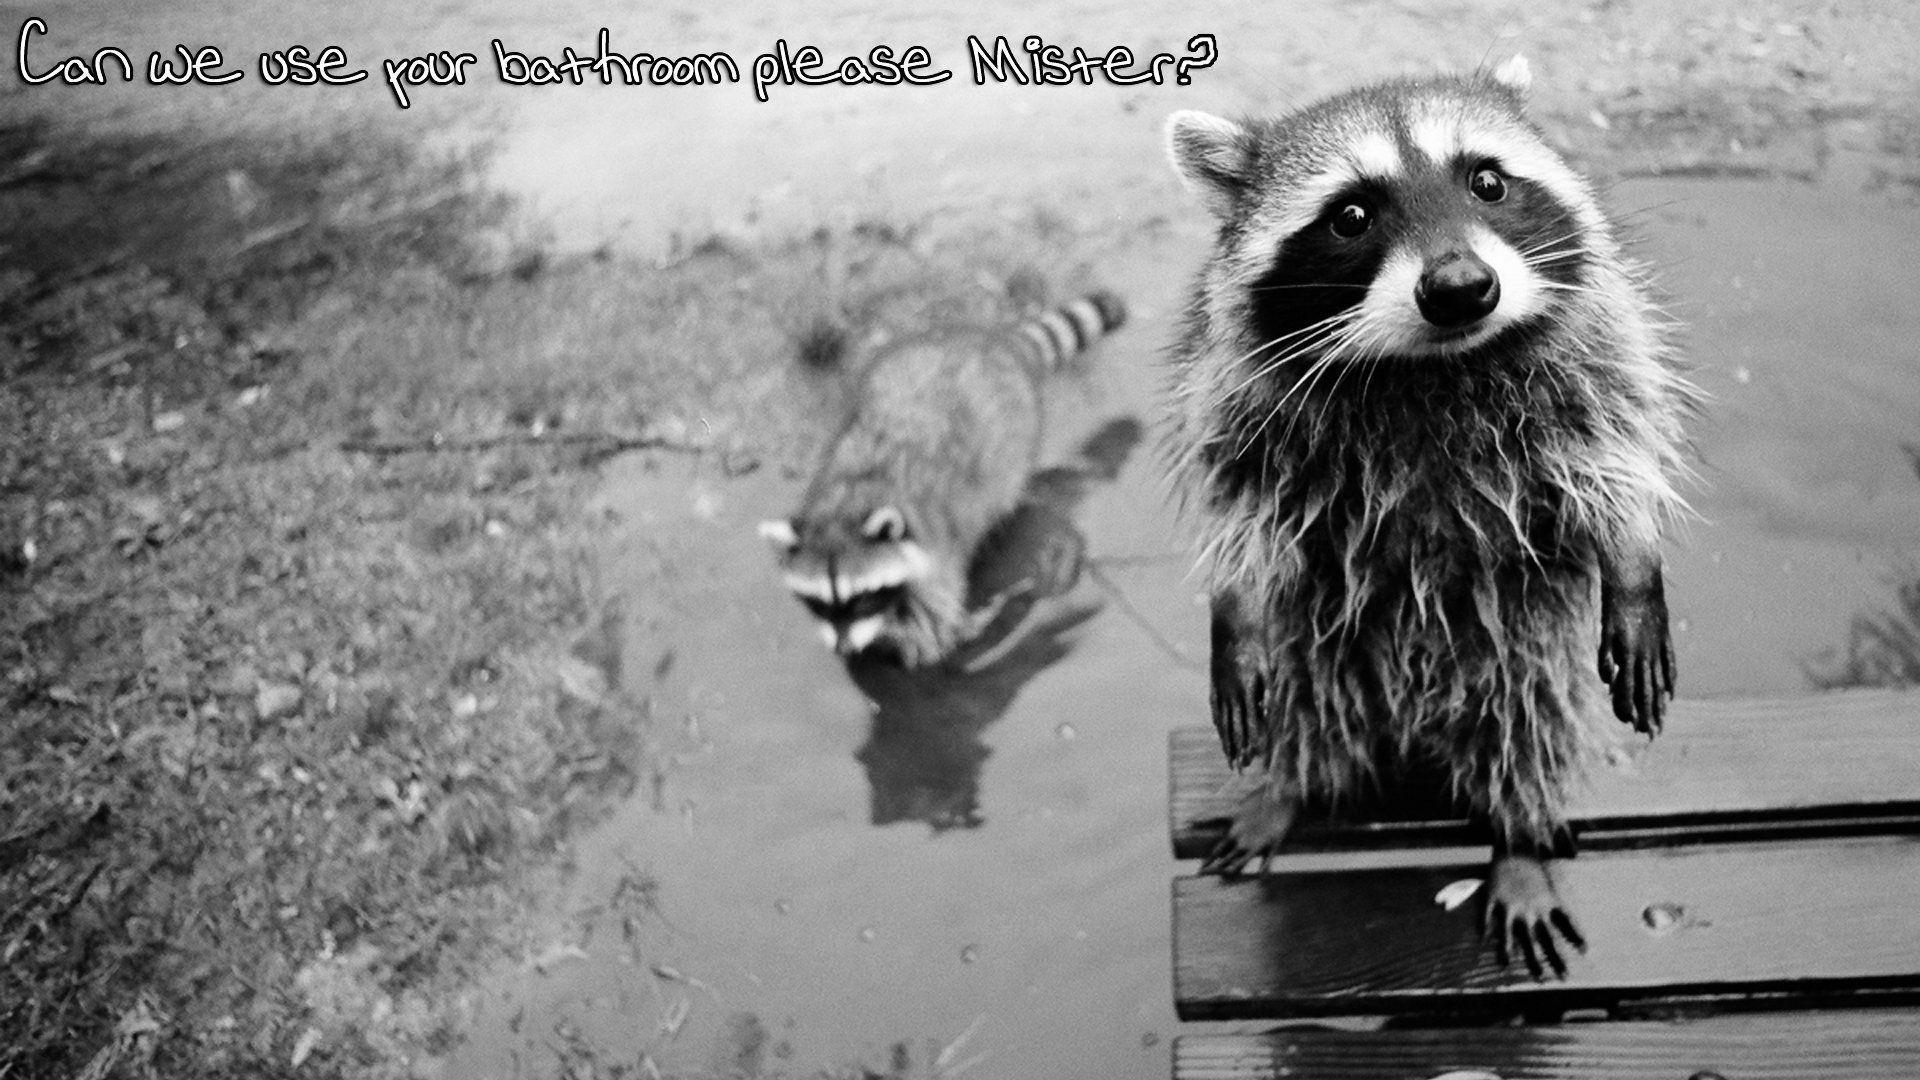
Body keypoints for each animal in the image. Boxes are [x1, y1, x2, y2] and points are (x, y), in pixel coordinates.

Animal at [760, 291, 1127, 667]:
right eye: (818, 602)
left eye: (863, 598)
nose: (842, 648)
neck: (849, 501)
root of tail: (995, 343)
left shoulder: (938, 544)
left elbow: (933, 607)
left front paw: (921, 638)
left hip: (1015, 435)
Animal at [1161, 57, 1699, 976]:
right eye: (1350, 215)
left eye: (1487, 181)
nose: (1461, 289)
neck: (1429, 365)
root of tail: (1411, 721)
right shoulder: (1235, 390)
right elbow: (1243, 507)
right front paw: (1231, 606)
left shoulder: (1597, 346)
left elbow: (1614, 455)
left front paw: (1634, 566)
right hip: (1321, 652)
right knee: (1308, 705)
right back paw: (1287, 788)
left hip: (1519, 651)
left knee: (1526, 727)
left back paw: (1517, 842)